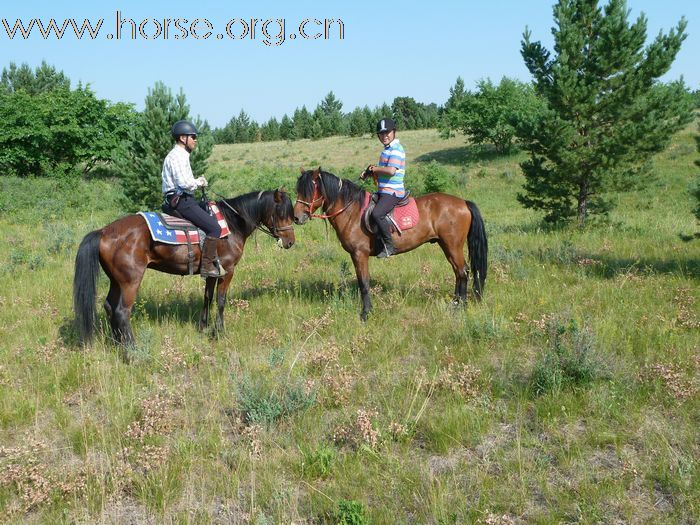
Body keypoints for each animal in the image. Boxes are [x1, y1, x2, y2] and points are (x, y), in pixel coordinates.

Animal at [74, 189, 296, 348]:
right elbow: (221, 300)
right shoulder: (228, 271)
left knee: (109, 307)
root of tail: (103, 231)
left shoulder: (211, 273)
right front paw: (219, 332)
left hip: (116, 281)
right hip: (130, 281)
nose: (290, 242)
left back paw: (117, 343)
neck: (232, 224)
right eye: (281, 213)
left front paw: (203, 327)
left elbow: (207, 298)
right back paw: (132, 351)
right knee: (121, 312)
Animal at [294, 168, 486, 320]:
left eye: (310, 190)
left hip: (452, 245)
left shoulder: (359, 254)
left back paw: (460, 306)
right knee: (458, 271)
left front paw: (366, 314)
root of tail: (463, 203)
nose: (296, 218)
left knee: (462, 271)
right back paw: (456, 302)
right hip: (446, 245)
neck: (352, 212)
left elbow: (364, 283)